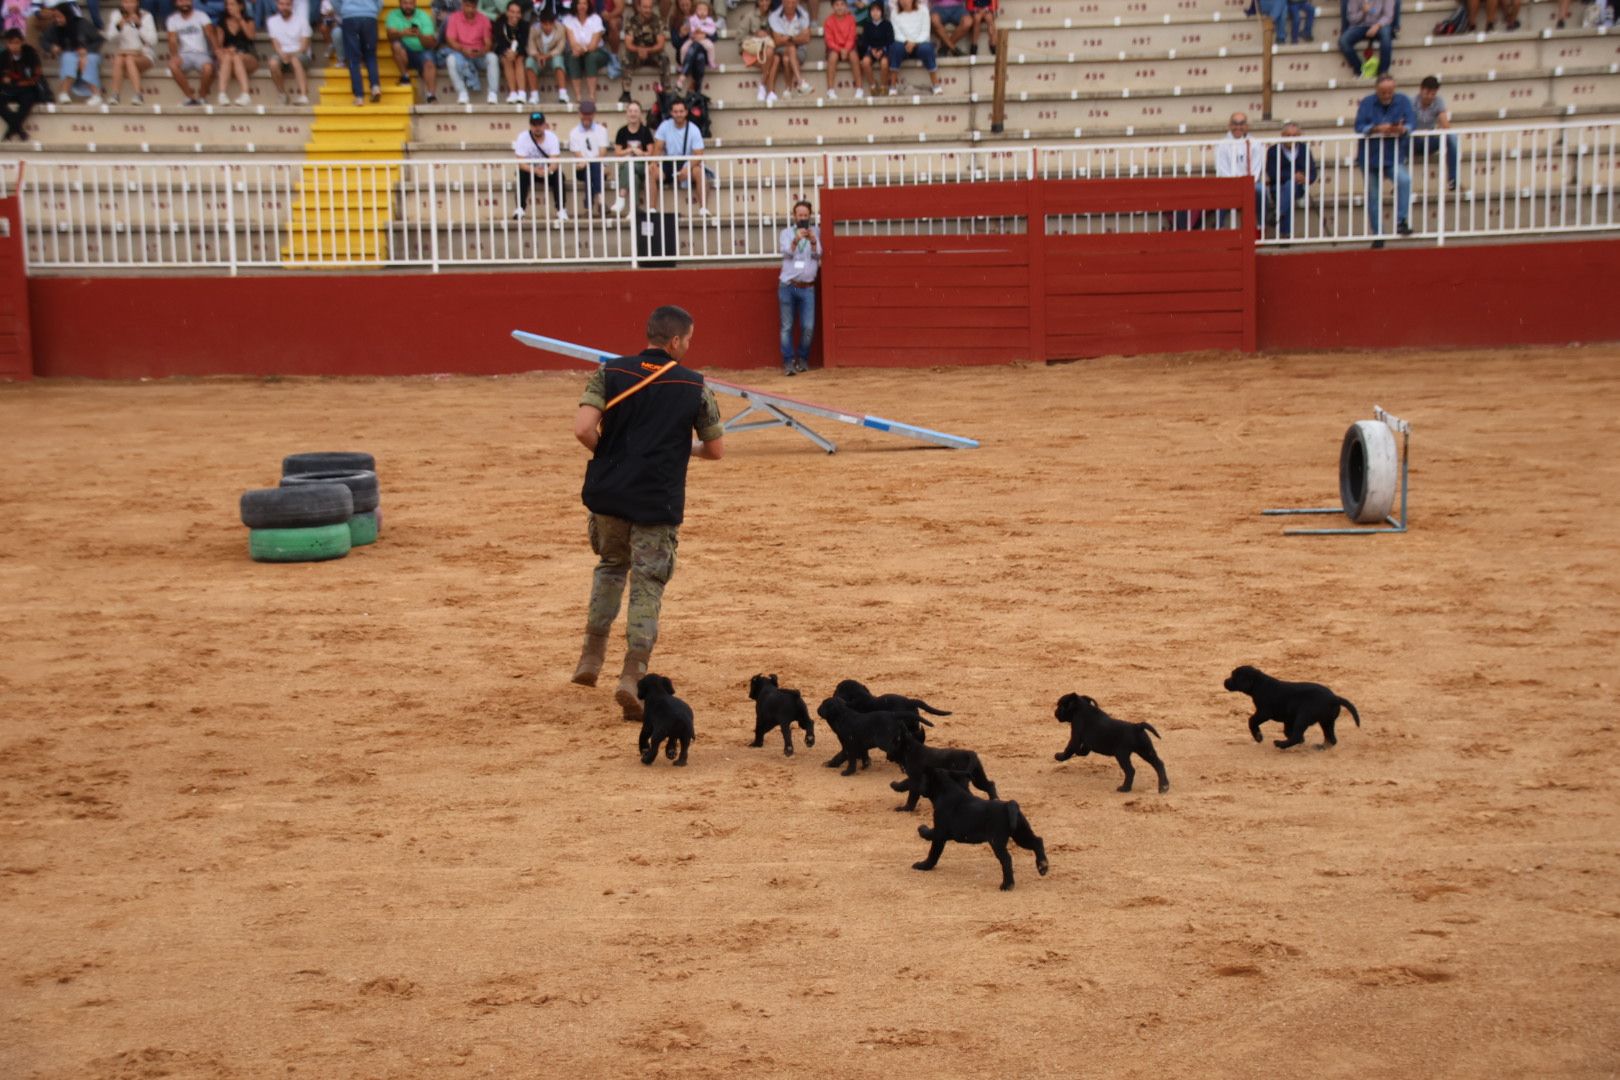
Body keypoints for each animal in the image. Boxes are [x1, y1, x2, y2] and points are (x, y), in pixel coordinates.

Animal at [913, 764, 1049, 893]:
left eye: (923, 779)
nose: (918, 788)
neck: (946, 791)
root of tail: (1008, 804)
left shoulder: (940, 833)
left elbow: (932, 852)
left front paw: (923, 864)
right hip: (1020, 834)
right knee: (1037, 841)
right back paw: (1042, 866)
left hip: (997, 842)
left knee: (1007, 859)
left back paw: (1007, 885)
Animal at [1218, 663, 1360, 748]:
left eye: (1234, 676)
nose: (1224, 681)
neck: (1259, 683)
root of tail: (1335, 698)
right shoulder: (1288, 718)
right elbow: (1287, 730)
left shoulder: (1264, 712)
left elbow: (1251, 721)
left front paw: (1258, 737)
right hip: (1326, 721)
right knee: (1331, 739)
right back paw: (1320, 747)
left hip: (1303, 717)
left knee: (1297, 736)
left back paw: (1280, 744)